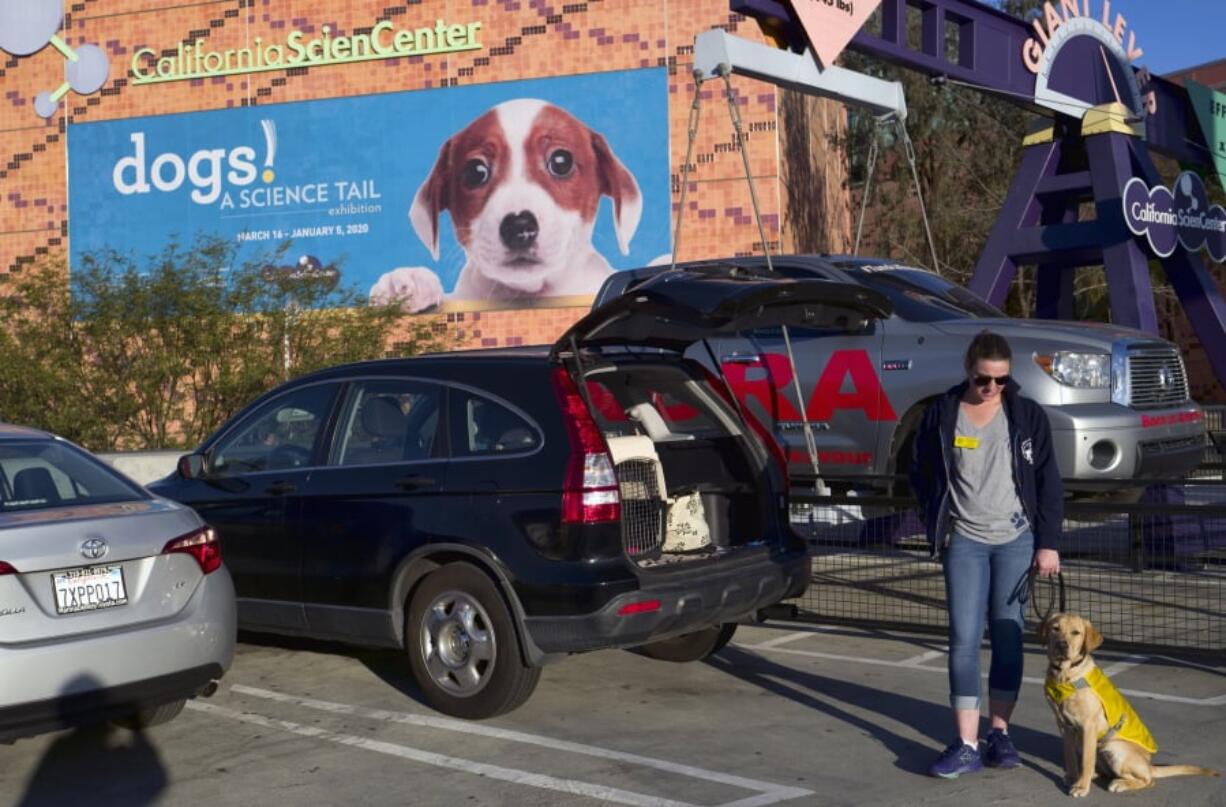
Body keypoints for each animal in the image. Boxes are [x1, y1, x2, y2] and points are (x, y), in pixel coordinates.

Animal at [1039, 615, 1221, 789]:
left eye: (1076, 632)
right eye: (1055, 628)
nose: (1062, 644)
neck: (1065, 675)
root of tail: (1149, 765)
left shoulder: (1088, 725)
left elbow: (1086, 761)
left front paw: (1081, 787)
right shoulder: (1064, 726)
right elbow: (1069, 757)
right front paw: (1072, 778)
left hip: (1115, 749)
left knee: (1148, 780)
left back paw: (1119, 783)